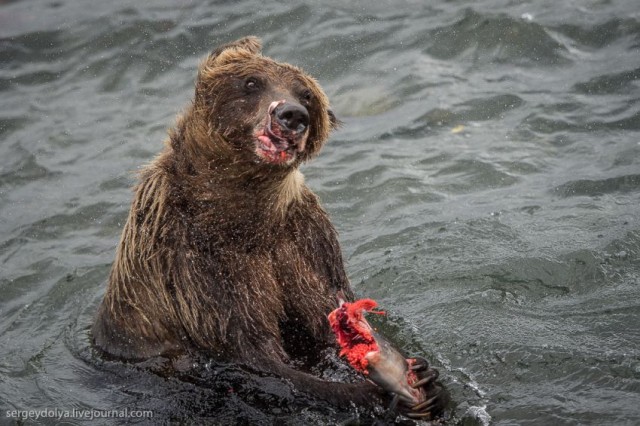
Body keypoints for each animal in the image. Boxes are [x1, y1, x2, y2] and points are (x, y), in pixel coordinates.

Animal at [92, 36, 448, 420]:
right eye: (251, 83)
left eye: (306, 94)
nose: (292, 114)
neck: (245, 217)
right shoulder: (195, 263)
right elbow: (255, 353)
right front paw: (374, 394)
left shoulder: (305, 240)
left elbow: (324, 320)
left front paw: (426, 378)